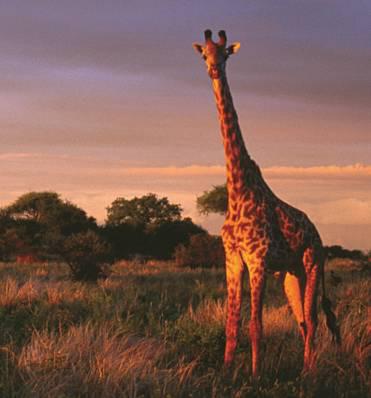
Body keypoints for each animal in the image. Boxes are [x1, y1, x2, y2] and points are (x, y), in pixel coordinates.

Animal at [193, 30, 342, 376]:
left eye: (225, 55)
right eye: (204, 55)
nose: (214, 70)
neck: (238, 191)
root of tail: (319, 238)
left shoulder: (257, 258)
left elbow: (255, 325)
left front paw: (256, 375)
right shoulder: (233, 259)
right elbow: (232, 323)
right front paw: (227, 372)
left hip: (312, 265)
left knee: (313, 320)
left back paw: (307, 374)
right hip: (290, 275)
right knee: (303, 321)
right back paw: (305, 368)